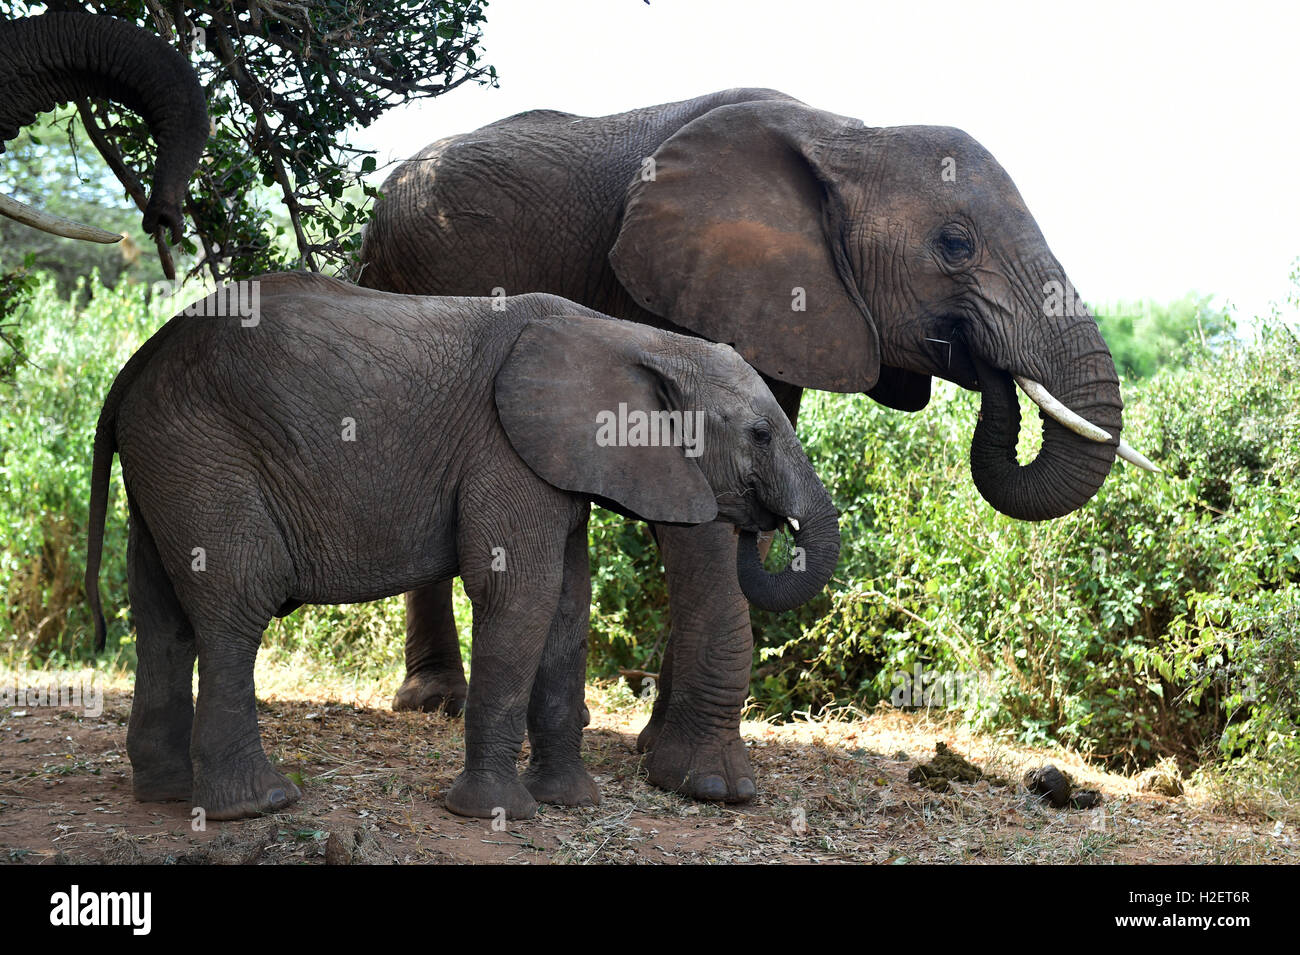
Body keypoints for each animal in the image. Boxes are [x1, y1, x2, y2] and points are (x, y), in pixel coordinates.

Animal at [86, 270, 837, 821]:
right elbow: (519, 591)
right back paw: (257, 805)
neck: (631, 337)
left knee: (161, 616)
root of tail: (138, 359)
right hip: (202, 446)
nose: (760, 522)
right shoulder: (504, 449)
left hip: (168, 454)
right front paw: (496, 813)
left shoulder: (554, 462)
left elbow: (568, 602)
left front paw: (568, 804)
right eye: (760, 434)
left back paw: (164, 791)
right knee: (237, 602)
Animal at [358, 87, 1159, 805]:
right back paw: (435, 702)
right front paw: (712, 785)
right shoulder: (670, 289)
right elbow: (702, 520)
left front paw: (659, 752)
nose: (990, 369)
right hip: (392, 279)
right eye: (954, 245)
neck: (847, 137)